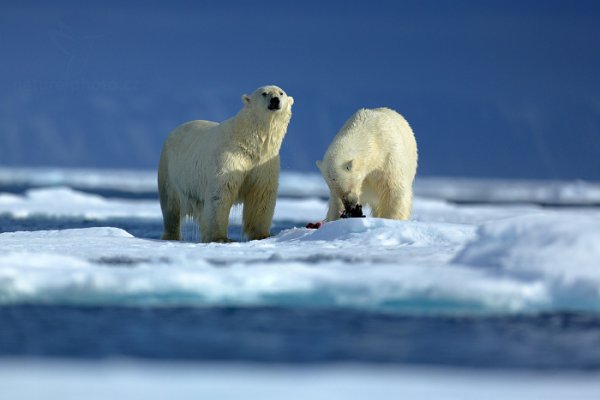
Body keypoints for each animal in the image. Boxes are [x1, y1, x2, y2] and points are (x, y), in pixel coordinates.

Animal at [157, 84, 292, 242]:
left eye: (281, 93)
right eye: (264, 93)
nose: (275, 100)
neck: (249, 143)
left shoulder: (265, 162)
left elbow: (261, 194)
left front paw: (263, 235)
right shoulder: (229, 158)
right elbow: (220, 193)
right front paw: (220, 238)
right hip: (169, 169)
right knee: (170, 206)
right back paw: (171, 236)